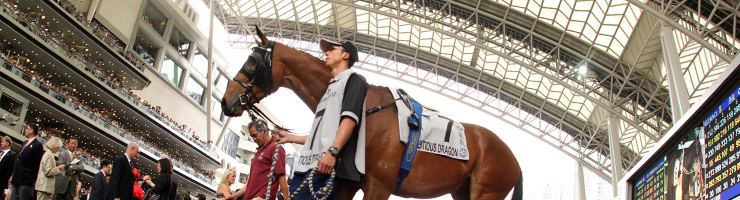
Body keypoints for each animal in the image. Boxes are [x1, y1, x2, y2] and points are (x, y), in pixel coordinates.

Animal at [223, 28, 524, 200]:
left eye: (253, 61)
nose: (227, 101)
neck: (366, 113)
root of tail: (514, 160)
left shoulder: (379, 187)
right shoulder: (347, 184)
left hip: (487, 193)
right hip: (462, 192)